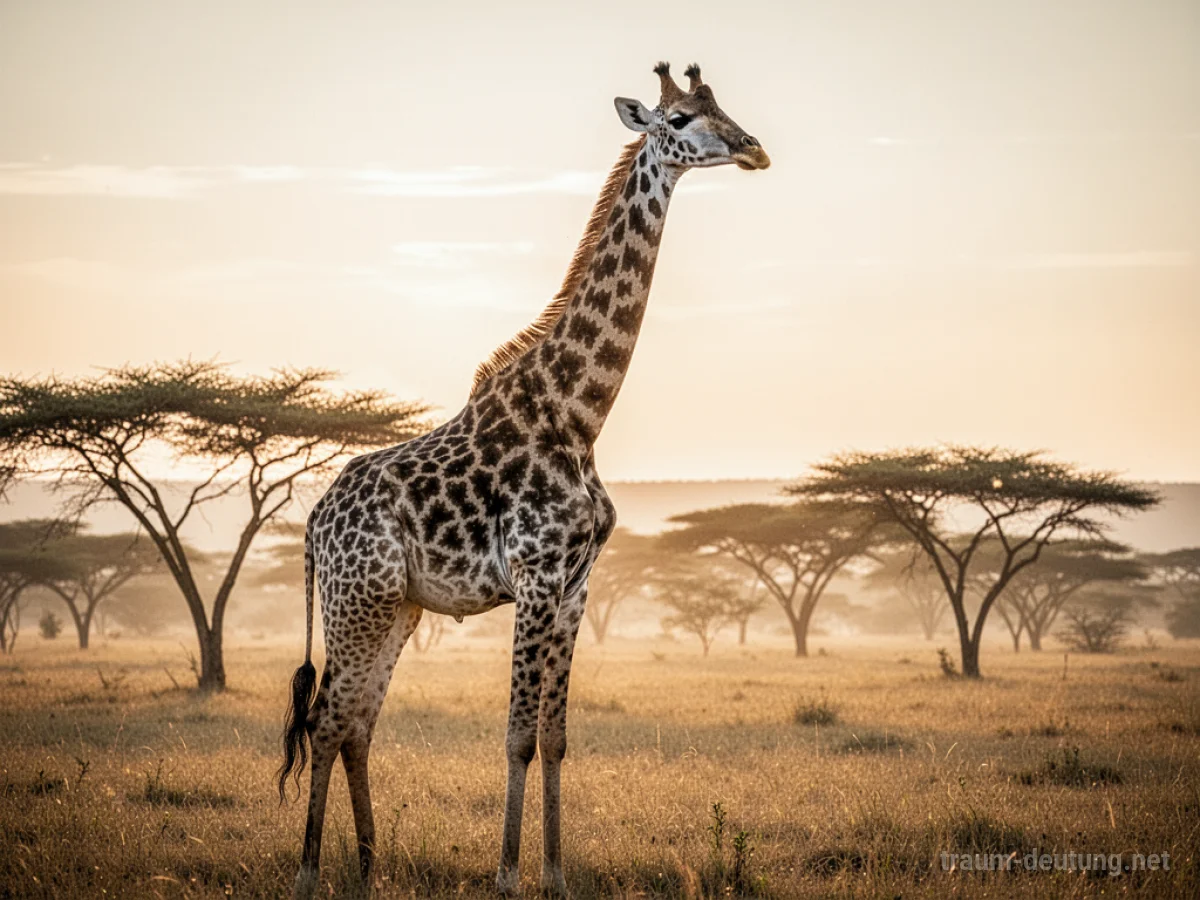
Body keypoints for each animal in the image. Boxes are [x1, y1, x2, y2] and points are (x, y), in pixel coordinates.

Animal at [278, 61, 770, 899]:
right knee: (325, 720)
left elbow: (557, 736)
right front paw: (508, 876)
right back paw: (313, 872)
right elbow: (516, 736)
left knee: (357, 724)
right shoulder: (536, 579)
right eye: (678, 117)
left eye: (724, 106)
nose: (754, 149)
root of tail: (313, 525)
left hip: (397, 608)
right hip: (357, 601)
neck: (579, 413)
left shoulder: (576, 587)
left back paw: (370, 866)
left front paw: (558, 873)